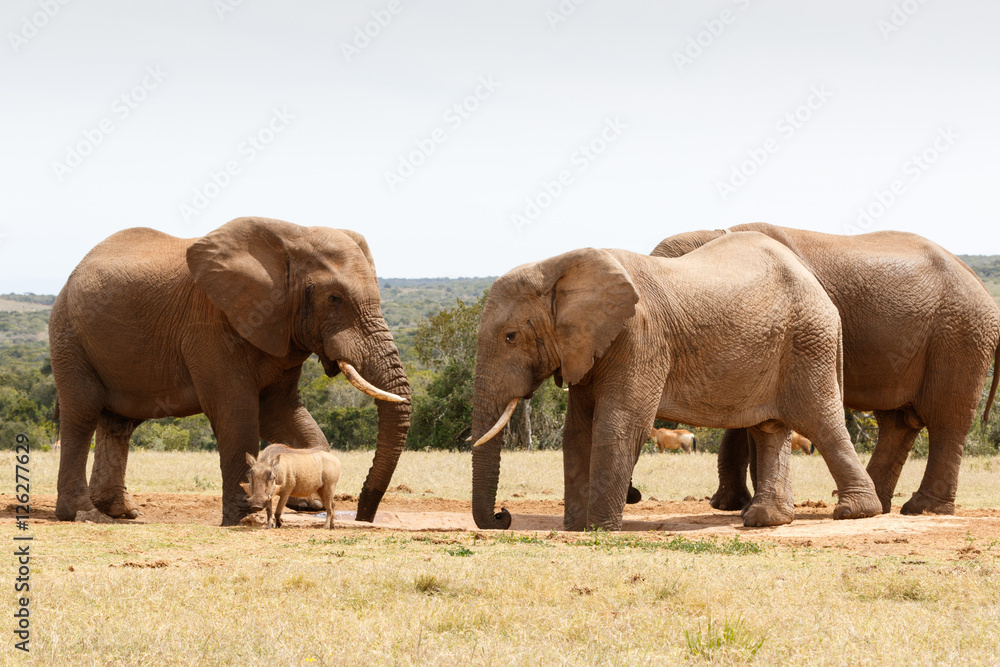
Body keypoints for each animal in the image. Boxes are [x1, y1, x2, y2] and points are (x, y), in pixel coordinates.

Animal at [49, 216, 411, 526]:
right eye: (334, 298)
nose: (364, 516)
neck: (292, 237)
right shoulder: (209, 324)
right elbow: (236, 412)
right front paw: (246, 517)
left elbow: (283, 413)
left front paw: (307, 502)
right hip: (68, 335)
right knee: (81, 413)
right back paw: (85, 514)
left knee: (118, 424)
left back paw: (121, 511)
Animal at [469, 232, 882, 531]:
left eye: (510, 337)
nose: (502, 516)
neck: (558, 266)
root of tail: (820, 290)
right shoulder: (587, 347)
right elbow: (577, 429)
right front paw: (575, 528)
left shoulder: (639, 338)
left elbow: (619, 423)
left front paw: (599, 530)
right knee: (770, 429)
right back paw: (765, 520)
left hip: (809, 342)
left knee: (820, 421)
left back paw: (855, 511)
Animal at [650, 223, 1000, 515]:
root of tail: (983, 288)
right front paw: (731, 506)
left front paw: (745, 508)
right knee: (898, 420)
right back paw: (879, 503)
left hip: (959, 335)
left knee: (946, 418)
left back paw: (922, 509)